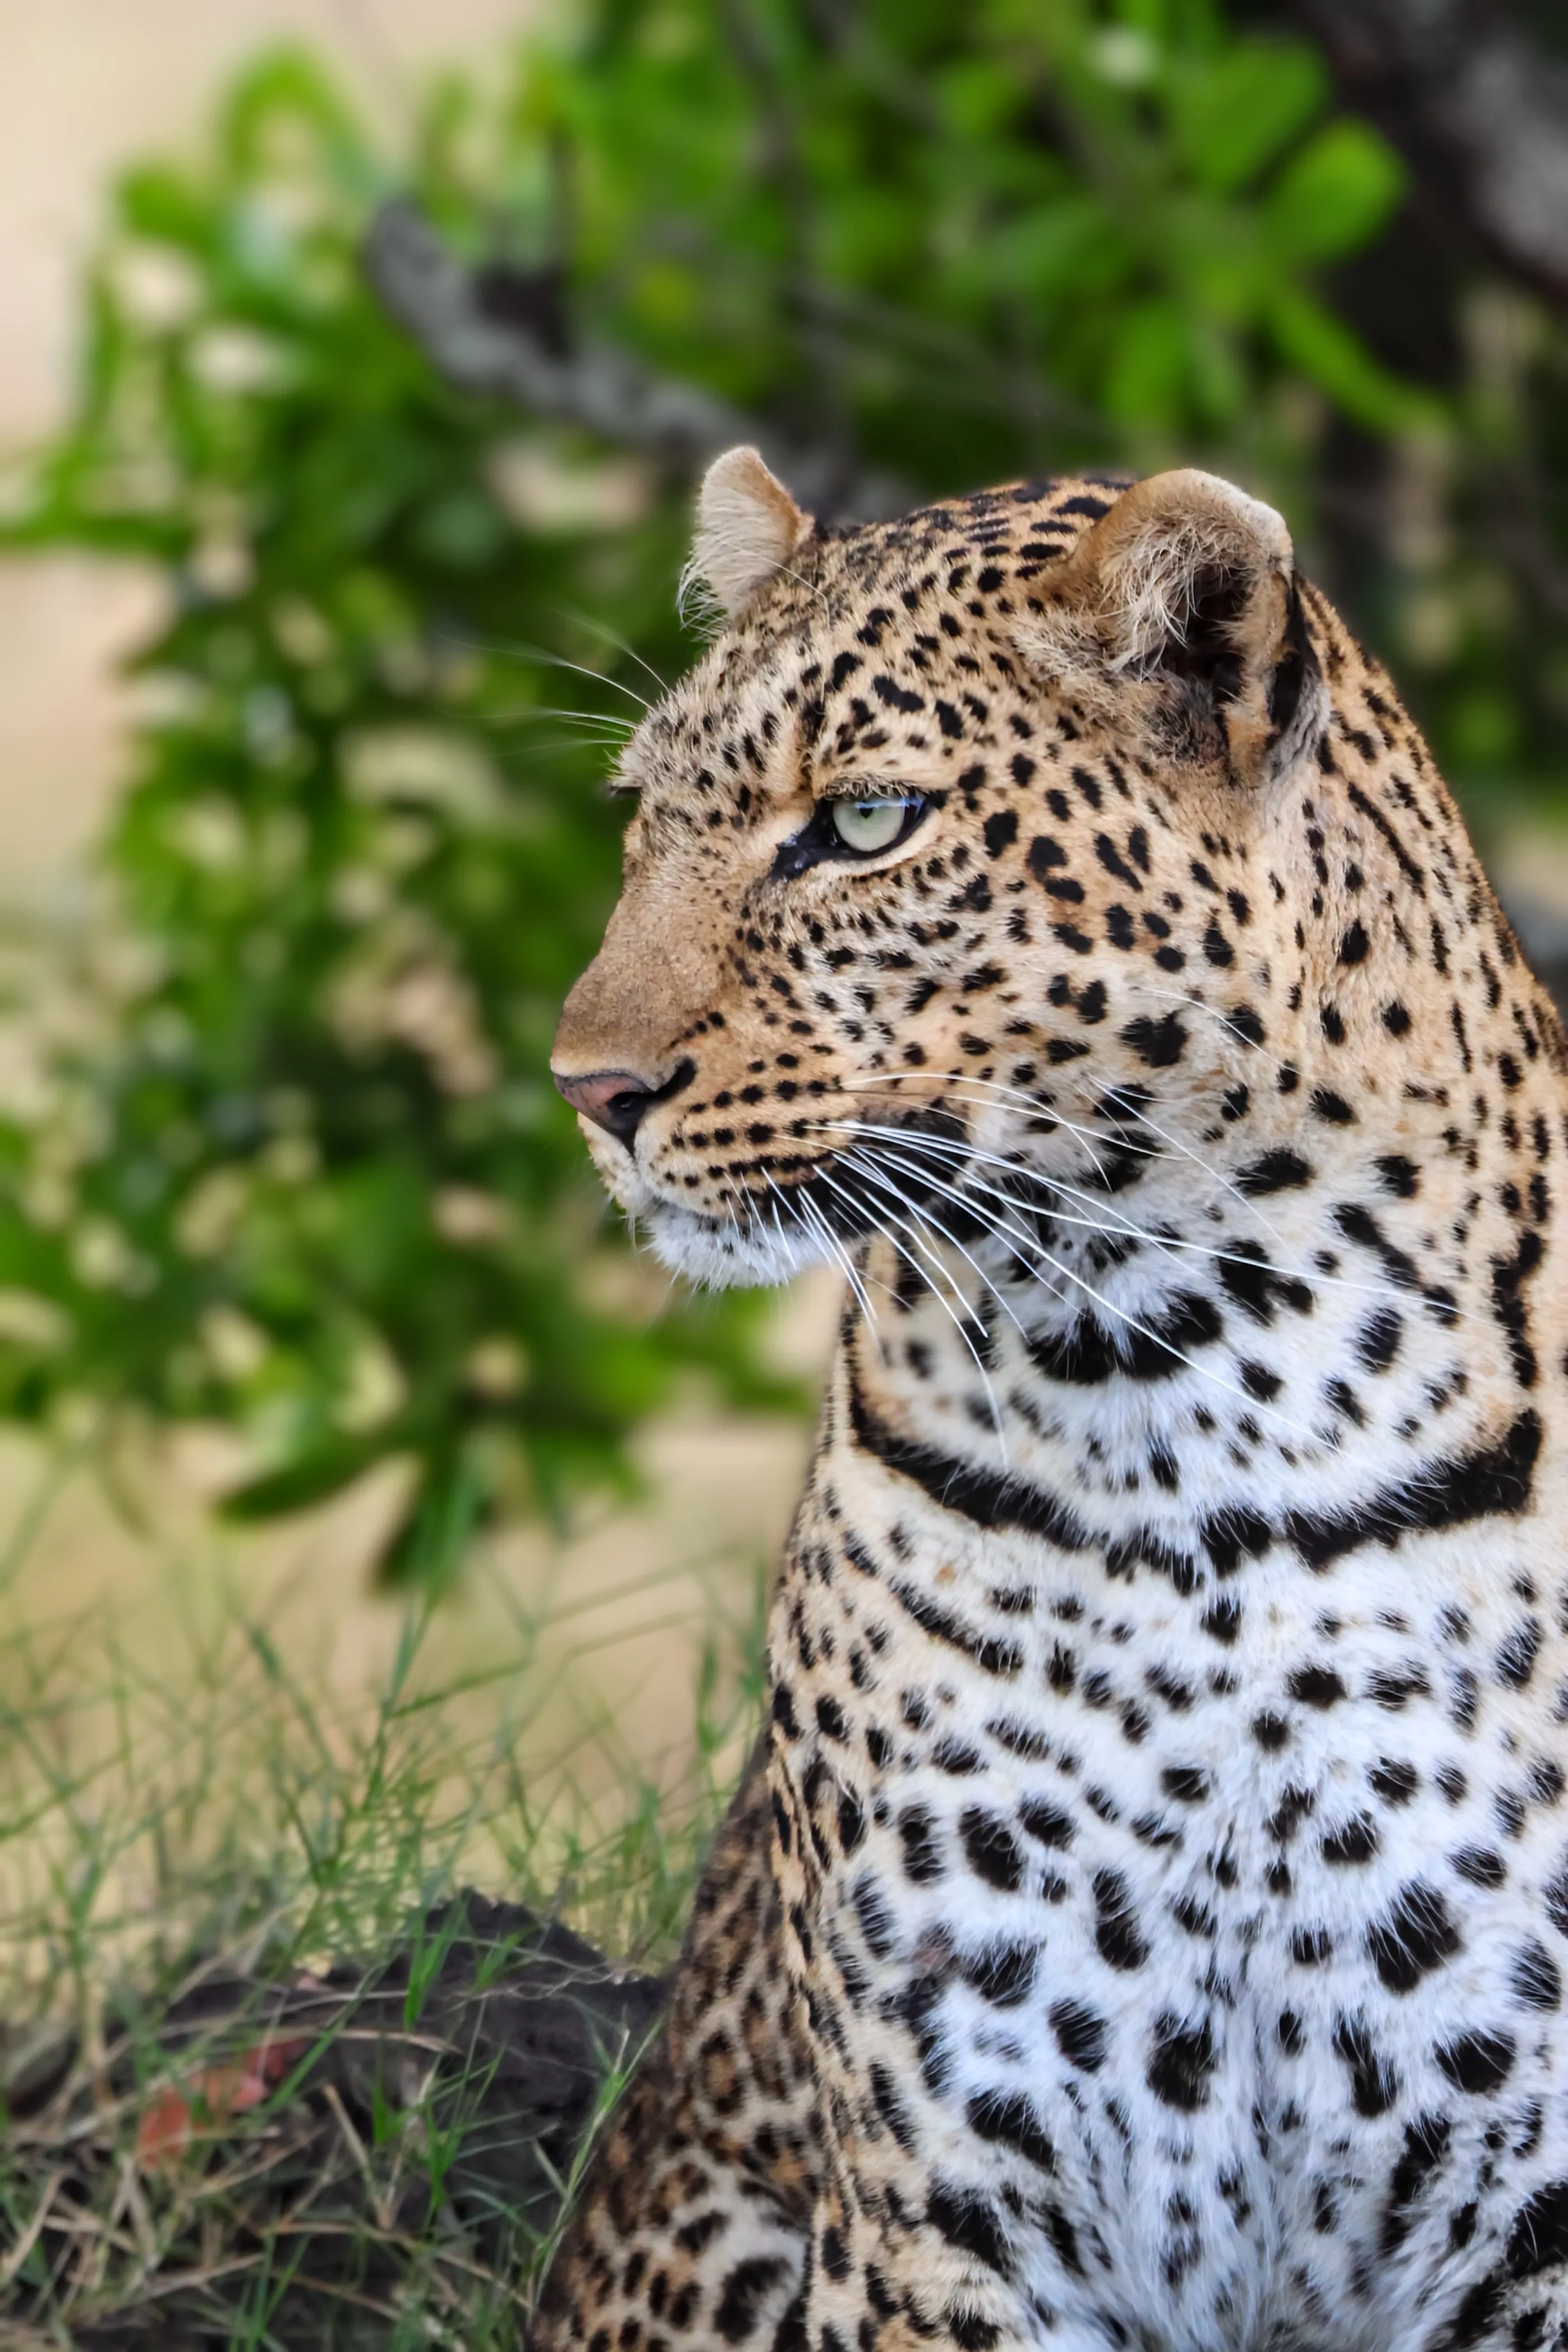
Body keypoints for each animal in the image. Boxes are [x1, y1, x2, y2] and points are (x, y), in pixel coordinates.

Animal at [537, 444, 1568, 2352]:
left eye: (867, 822)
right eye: (645, 821)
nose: (590, 1087)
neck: (1198, 1387)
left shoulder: (1521, 2196)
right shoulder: (954, 2185)